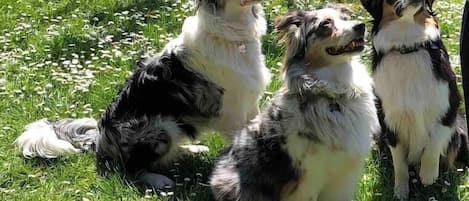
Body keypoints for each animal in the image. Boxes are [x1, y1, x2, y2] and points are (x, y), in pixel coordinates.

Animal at [15, 0, 270, 188]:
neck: (232, 35)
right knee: (131, 169)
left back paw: (191, 149)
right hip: (160, 126)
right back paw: (159, 179)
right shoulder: (232, 113)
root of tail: (100, 138)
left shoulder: (251, 105)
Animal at [210, 5, 378, 201]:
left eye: (346, 18)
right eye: (325, 24)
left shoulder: (343, 177)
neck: (335, 96)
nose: (361, 26)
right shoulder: (307, 179)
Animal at [360, 0, 466, 199]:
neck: (407, 47)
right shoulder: (388, 119)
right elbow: (399, 163)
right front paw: (400, 191)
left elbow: (436, 138)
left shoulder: (450, 103)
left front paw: (428, 173)